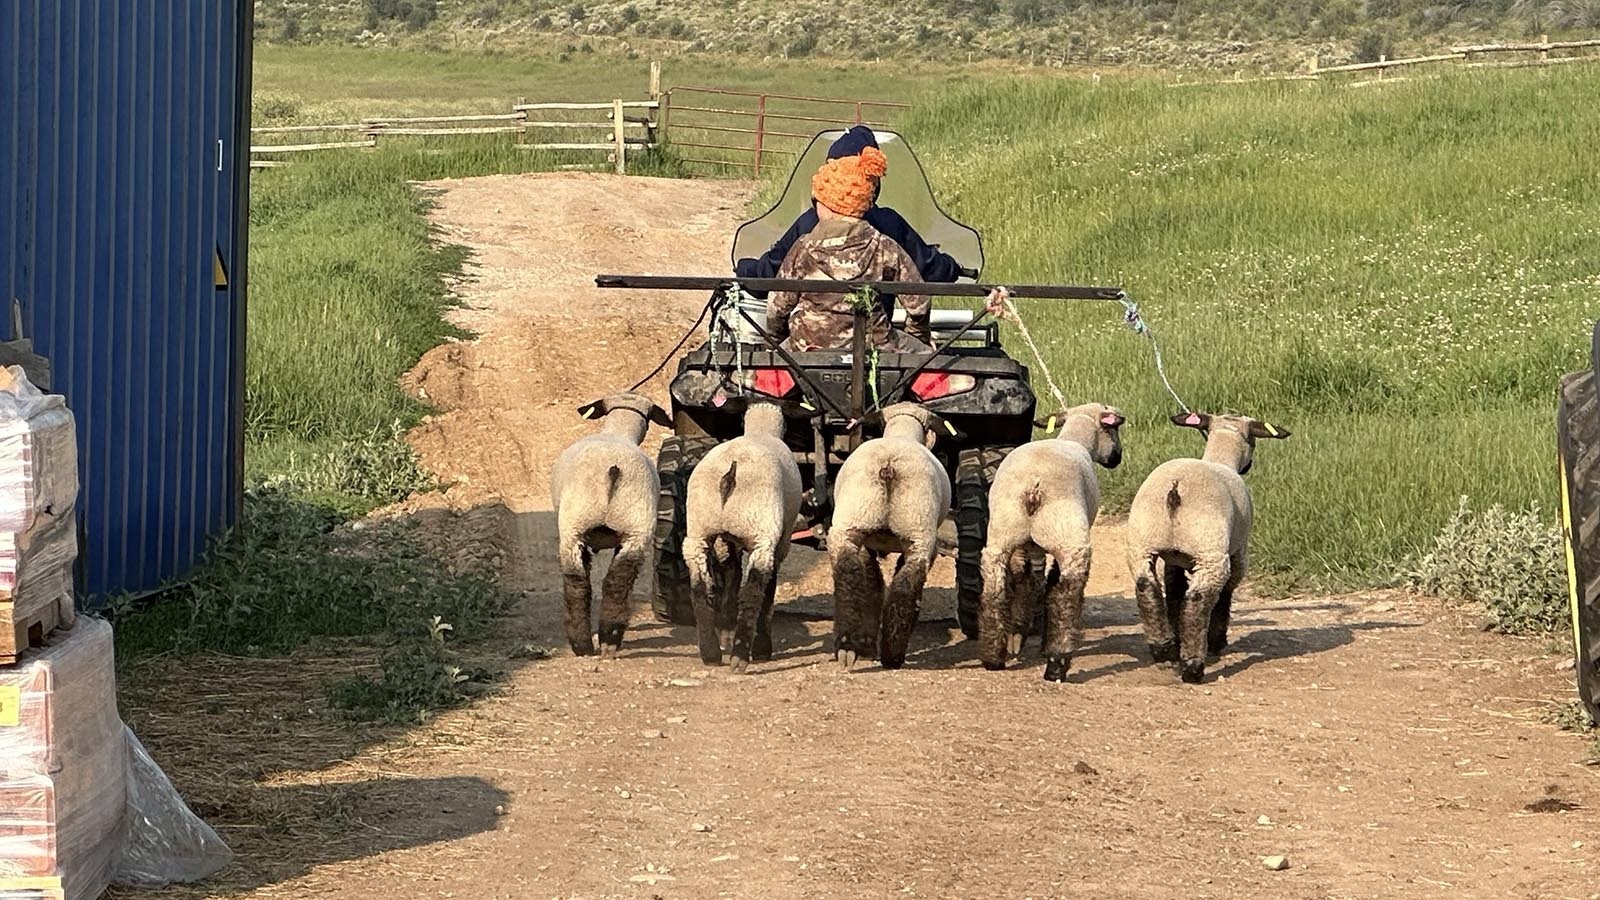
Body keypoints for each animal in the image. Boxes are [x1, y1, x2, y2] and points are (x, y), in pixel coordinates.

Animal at [553, 389, 672, 656]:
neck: (618, 431)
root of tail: (613, 468)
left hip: (574, 528)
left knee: (579, 583)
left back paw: (589, 643)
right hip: (635, 528)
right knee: (616, 581)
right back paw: (606, 637)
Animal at [681, 397, 806, 666]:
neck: (760, 429)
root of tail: (730, 474)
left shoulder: (726, 539)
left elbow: (731, 574)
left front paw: (727, 630)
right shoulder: (781, 540)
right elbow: (767, 586)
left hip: (698, 530)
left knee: (699, 586)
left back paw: (711, 652)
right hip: (762, 532)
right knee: (753, 591)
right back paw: (746, 653)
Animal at [825, 398, 947, 666]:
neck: (902, 431)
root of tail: (889, 465)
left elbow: (872, 582)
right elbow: (875, 582)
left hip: (852, 523)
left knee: (850, 574)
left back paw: (850, 644)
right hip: (919, 534)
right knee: (904, 586)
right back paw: (890, 652)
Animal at [972, 403, 1126, 675]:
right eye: (1113, 429)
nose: (1117, 457)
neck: (1074, 438)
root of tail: (1033, 487)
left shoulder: (1029, 546)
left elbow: (1029, 579)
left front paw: (1018, 633)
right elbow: (1050, 580)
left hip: (1002, 534)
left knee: (994, 589)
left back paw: (993, 656)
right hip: (1068, 534)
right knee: (1066, 593)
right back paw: (1057, 660)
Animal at [1120, 413, 1292, 679]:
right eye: (1252, 440)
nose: (1250, 466)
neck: (1220, 458)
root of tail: (1176, 489)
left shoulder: (1173, 557)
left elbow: (1175, 590)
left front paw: (1176, 638)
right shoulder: (1239, 551)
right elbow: (1227, 591)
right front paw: (1217, 641)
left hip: (1141, 543)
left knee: (1146, 587)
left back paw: (1164, 649)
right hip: (1211, 550)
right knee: (1199, 599)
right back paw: (1193, 666)